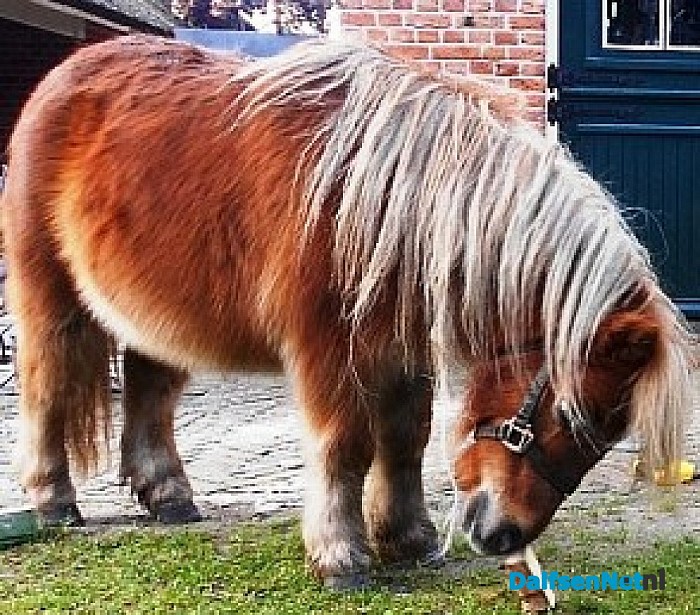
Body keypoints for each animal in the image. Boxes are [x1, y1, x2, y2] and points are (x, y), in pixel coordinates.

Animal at [1, 35, 691, 588]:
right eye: (570, 416)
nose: (504, 538)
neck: (383, 200)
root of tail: (60, 79)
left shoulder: (402, 349)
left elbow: (406, 437)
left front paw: (408, 538)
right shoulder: (329, 351)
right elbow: (346, 446)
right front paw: (341, 556)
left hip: (156, 321)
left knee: (150, 393)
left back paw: (168, 496)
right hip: (49, 299)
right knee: (46, 387)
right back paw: (53, 502)